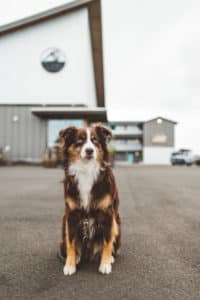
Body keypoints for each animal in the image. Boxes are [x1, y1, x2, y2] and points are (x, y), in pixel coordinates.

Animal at [58, 123, 121, 274]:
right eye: (79, 141)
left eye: (95, 140)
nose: (89, 150)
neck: (86, 170)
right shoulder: (71, 215)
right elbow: (71, 242)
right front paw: (70, 264)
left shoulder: (108, 214)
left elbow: (107, 241)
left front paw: (105, 263)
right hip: (63, 222)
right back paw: (77, 256)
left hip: (117, 222)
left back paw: (110, 257)